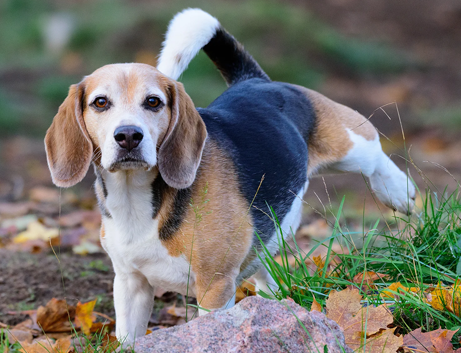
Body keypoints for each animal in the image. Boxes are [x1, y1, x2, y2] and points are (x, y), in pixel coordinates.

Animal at [45, 7, 416, 344]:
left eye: (153, 102)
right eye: (100, 102)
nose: (128, 136)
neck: (137, 197)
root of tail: (255, 82)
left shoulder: (215, 286)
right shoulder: (130, 284)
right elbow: (128, 337)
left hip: (350, 145)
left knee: (374, 152)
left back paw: (399, 192)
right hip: (262, 240)